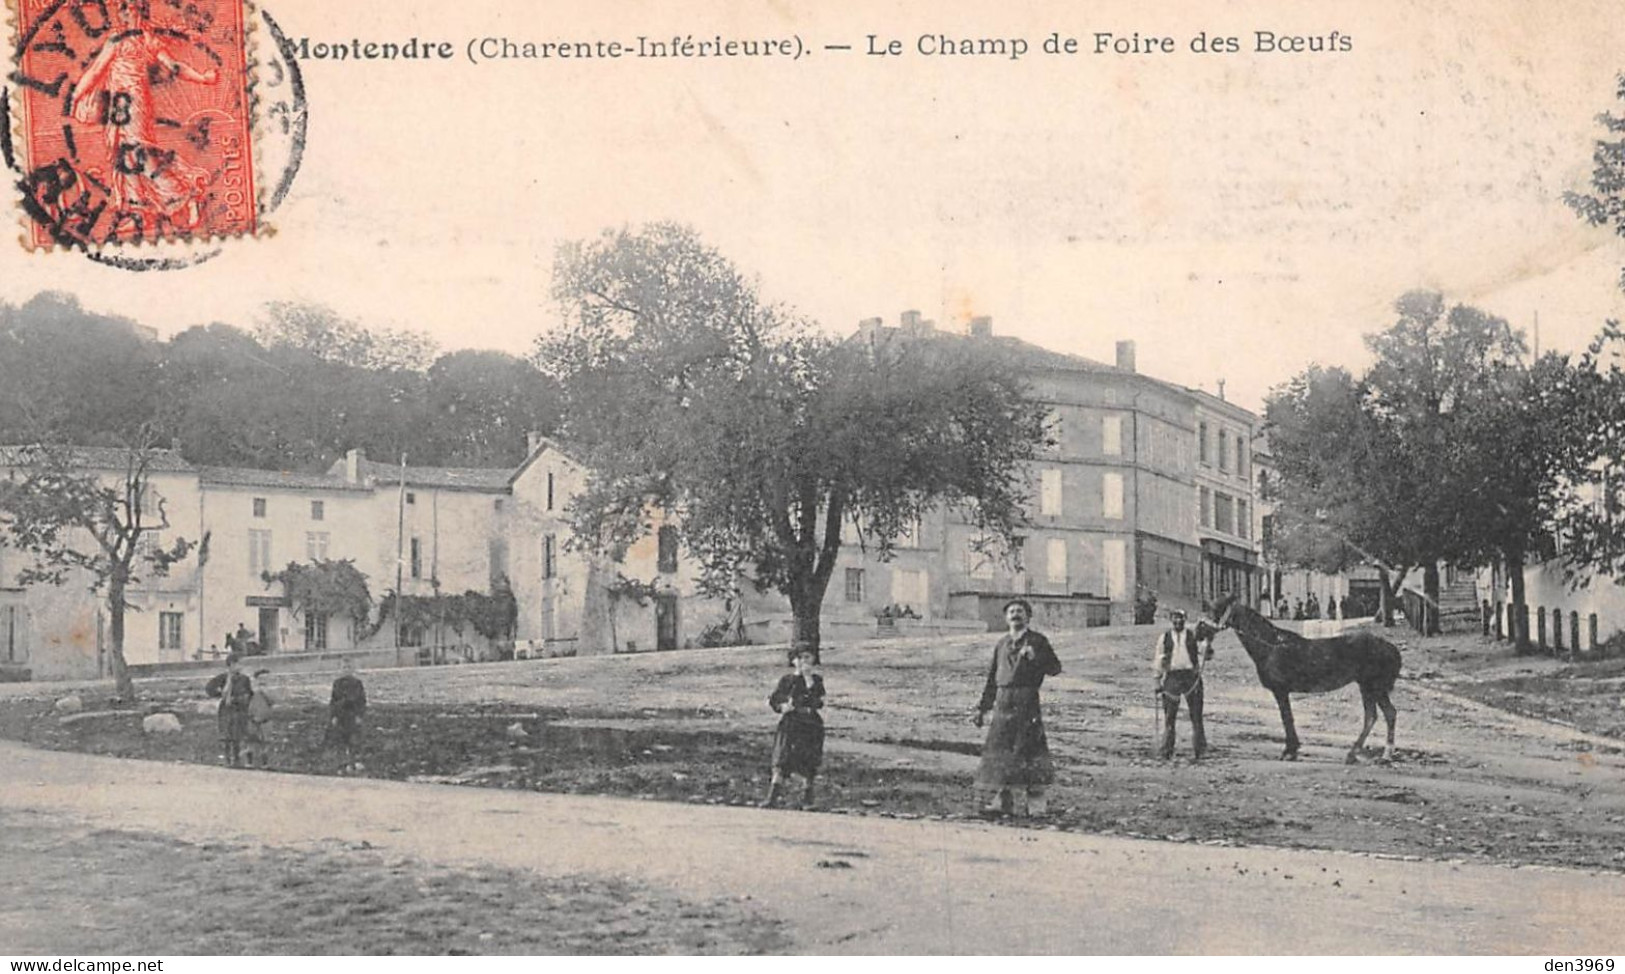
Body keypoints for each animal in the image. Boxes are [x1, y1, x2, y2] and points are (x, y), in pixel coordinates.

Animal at [1202, 591, 1404, 767]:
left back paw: (1385, 755)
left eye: (1217, 607)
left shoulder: (1281, 690)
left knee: (1389, 714)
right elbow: (1287, 718)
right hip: (1366, 687)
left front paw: (1289, 751)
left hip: (1375, 687)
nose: (1201, 629)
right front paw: (1292, 750)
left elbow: (1287, 718)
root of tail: (1390, 647)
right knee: (1372, 716)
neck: (1272, 646)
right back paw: (1353, 754)